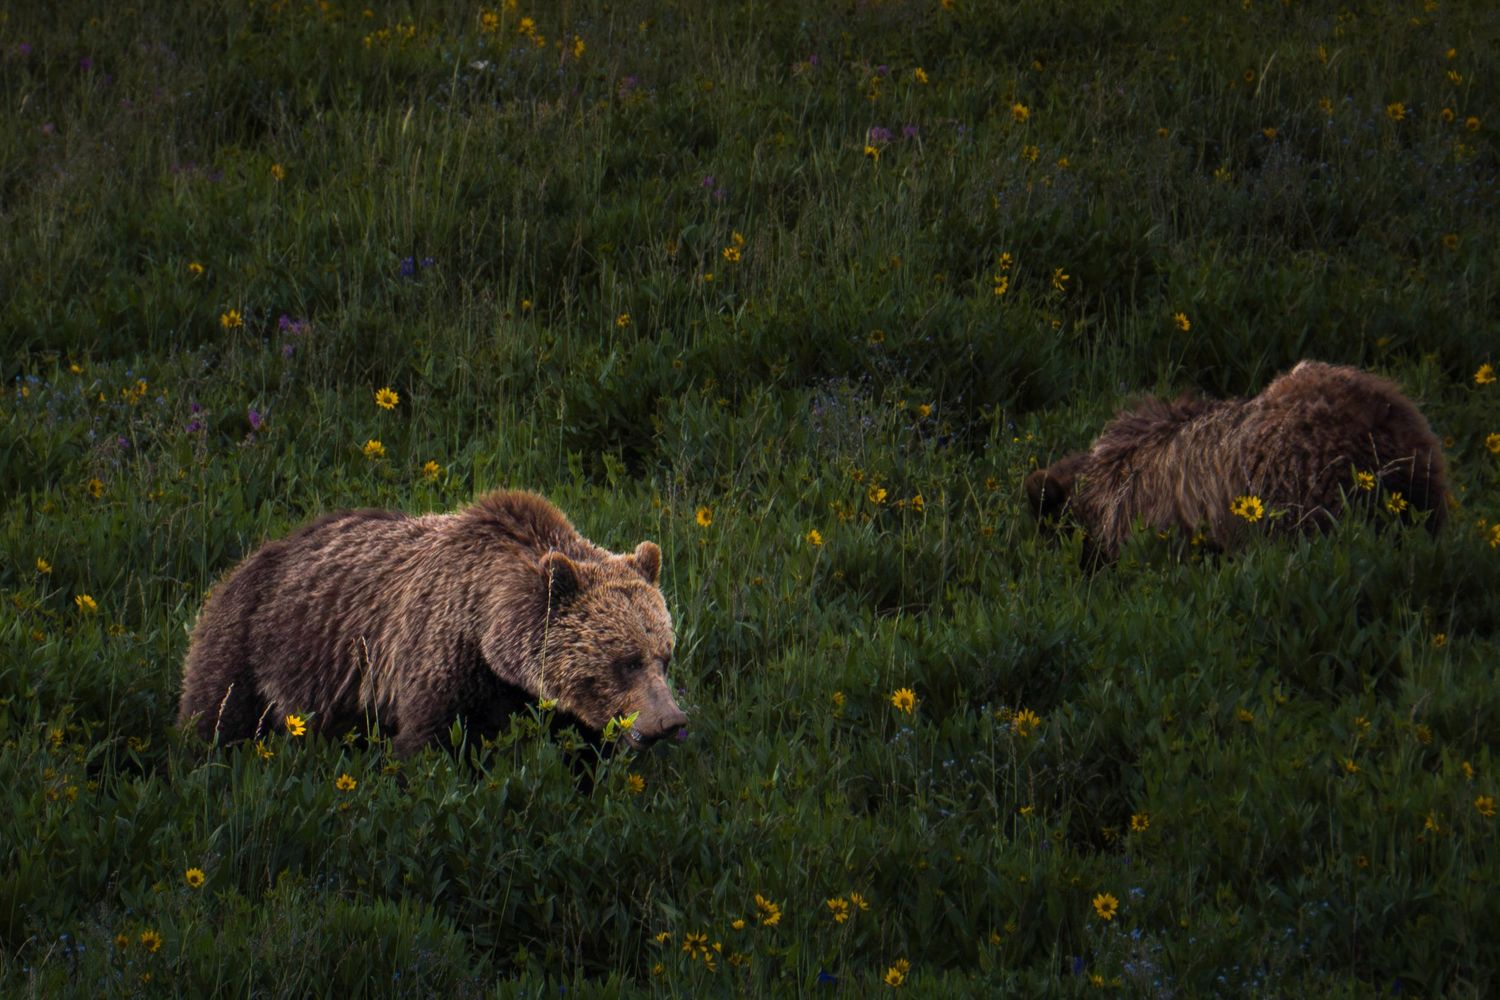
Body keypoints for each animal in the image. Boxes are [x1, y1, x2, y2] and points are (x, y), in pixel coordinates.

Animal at [177, 490, 687, 756]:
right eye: (626, 661)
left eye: (664, 656)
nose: (670, 720)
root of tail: (248, 558)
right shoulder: (440, 655)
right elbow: (426, 741)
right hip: (253, 644)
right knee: (219, 714)